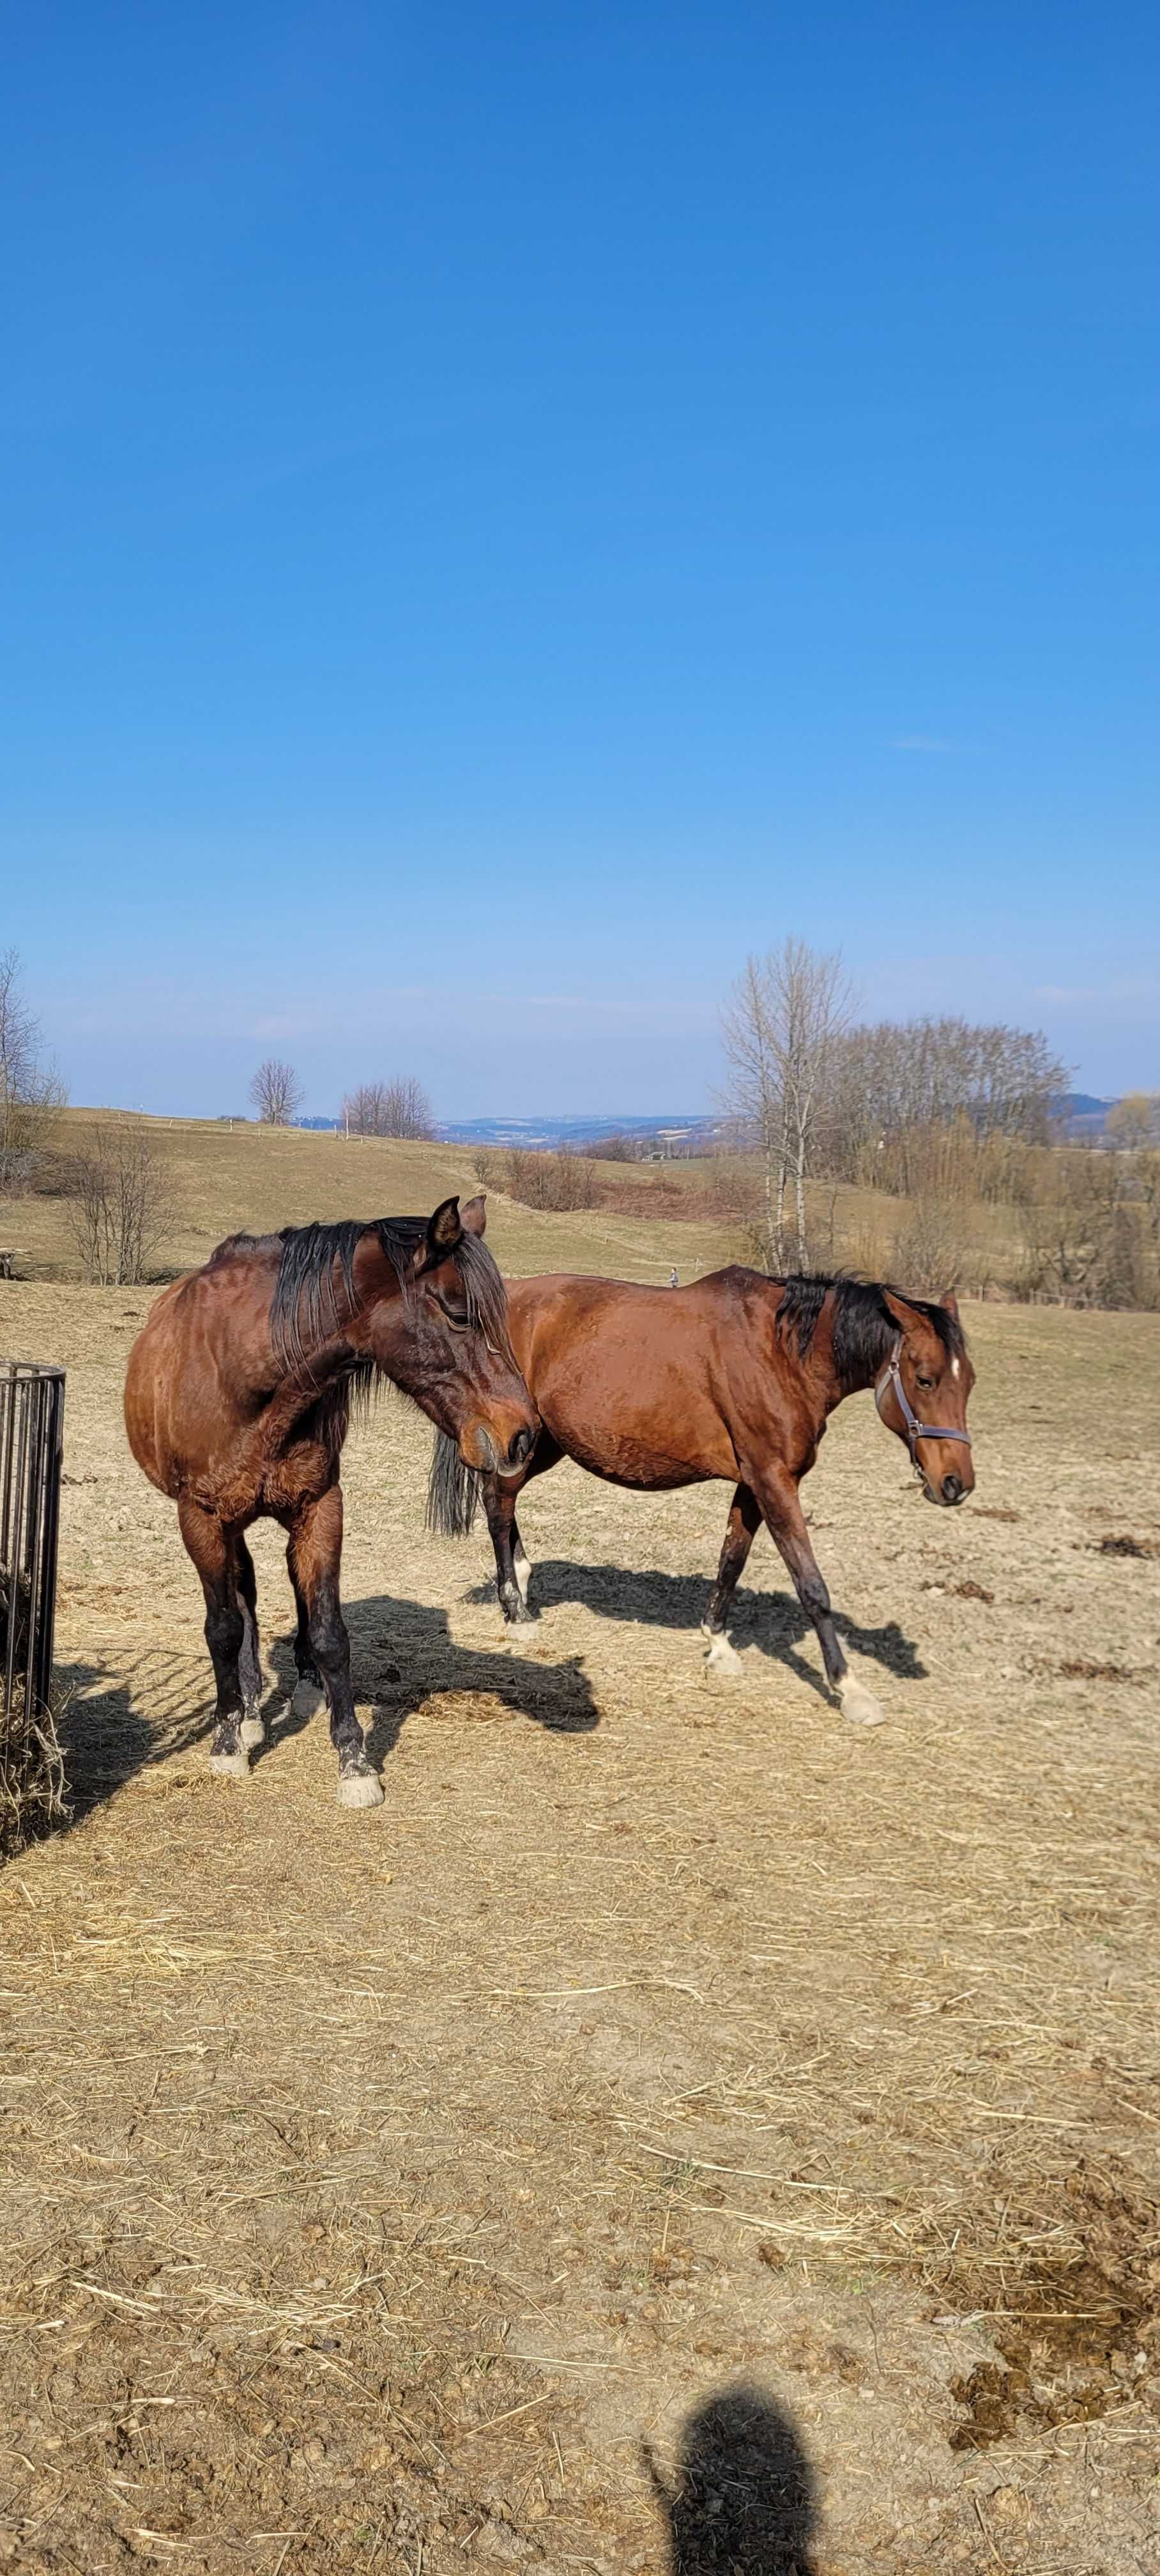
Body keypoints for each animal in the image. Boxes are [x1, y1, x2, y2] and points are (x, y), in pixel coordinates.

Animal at [128, 1195, 538, 1803]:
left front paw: (354, 1760)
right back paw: (250, 1712)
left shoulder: (321, 1506)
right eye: (459, 1313)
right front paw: (227, 1741)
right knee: (243, 1596)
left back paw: (301, 1689)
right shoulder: (200, 1518)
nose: (524, 1435)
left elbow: (329, 1633)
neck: (246, 1371)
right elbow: (223, 1628)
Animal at [430, 1267, 974, 1731]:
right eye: (925, 1379)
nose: (956, 1483)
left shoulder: (753, 1484)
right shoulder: (774, 1481)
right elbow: (812, 1587)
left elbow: (732, 1560)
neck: (781, 1354)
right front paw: (850, 1689)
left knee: (504, 1505)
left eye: (968, 1381)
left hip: (542, 1443)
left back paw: (523, 1583)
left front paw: (718, 1643)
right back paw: (514, 1610)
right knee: (498, 1505)